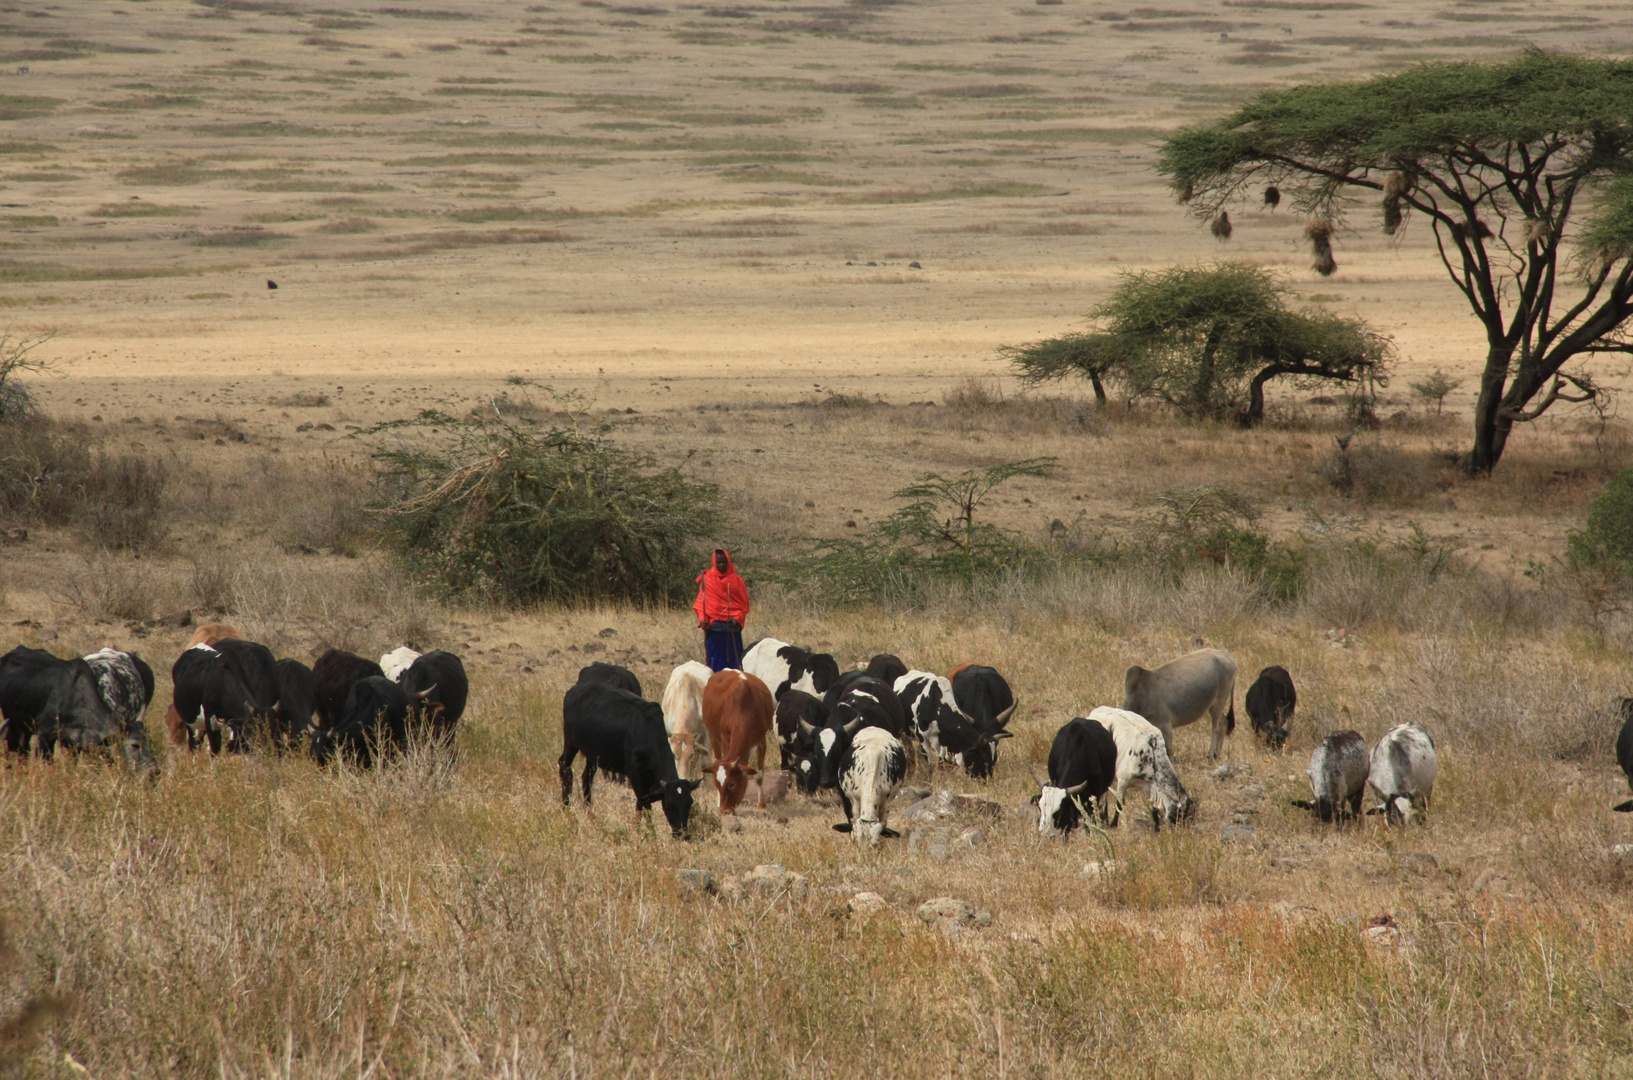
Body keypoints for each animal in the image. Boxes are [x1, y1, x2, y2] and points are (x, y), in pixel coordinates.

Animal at [558, 679, 698, 836]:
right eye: (670, 804)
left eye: (689, 802)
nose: (682, 834)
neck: (646, 731)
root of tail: (575, 690)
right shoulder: (634, 773)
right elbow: (645, 805)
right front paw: (650, 833)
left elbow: (640, 805)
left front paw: (637, 829)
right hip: (570, 743)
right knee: (565, 768)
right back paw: (566, 807)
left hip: (592, 754)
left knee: (586, 777)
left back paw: (589, 812)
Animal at [702, 669, 777, 813]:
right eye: (717, 784)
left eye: (732, 783)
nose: (724, 811)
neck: (744, 708)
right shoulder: (725, 738)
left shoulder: (761, 741)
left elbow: (759, 776)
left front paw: (762, 806)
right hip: (712, 735)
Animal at [1090, 702, 1195, 830]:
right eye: (1180, 815)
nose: (1183, 831)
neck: (1152, 754)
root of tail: (1096, 711)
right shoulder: (1123, 780)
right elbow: (1119, 804)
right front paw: (1113, 824)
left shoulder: (1150, 787)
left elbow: (1154, 808)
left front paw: (1156, 827)